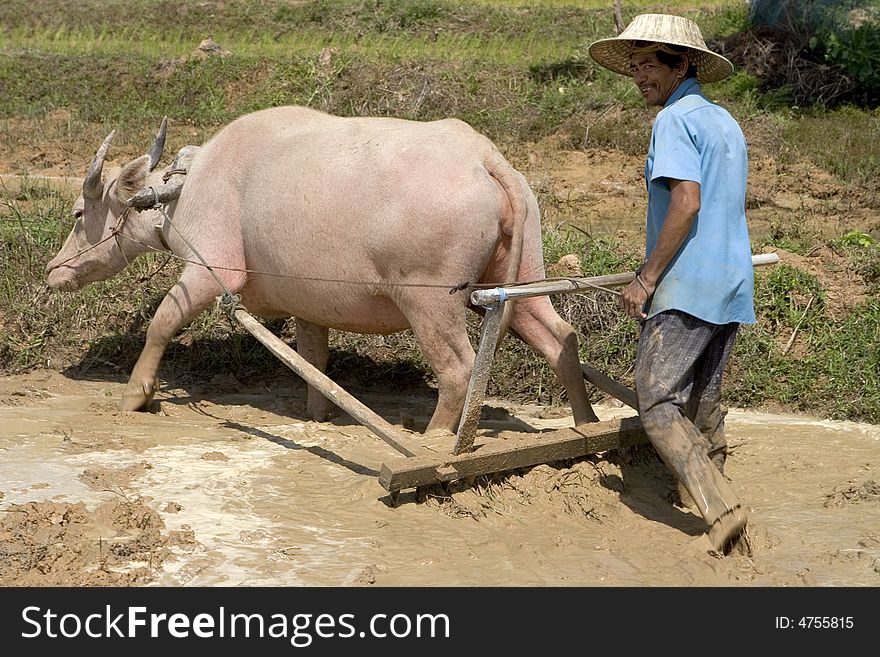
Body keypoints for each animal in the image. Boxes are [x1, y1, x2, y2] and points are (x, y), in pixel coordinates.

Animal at [46, 105, 600, 434]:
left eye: (77, 213)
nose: (54, 271)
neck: (180, 192)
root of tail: (485, 159)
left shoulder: (211, 271)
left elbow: (161, 322)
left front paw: (136, 395)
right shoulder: (306, 302)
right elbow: (313, 356)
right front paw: (319, 413)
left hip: (429, 300)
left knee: (458, 368)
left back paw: (436, 440)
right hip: (521, 279)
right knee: (559, 338)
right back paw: (586, 421)